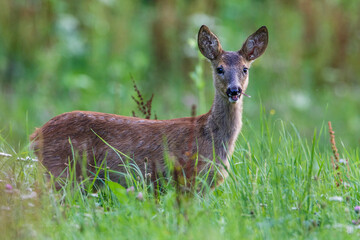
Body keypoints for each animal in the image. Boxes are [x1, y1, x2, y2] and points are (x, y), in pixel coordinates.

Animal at [30, 24, 268, 189]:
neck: (212, 138)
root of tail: (35, 135)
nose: (234, 90)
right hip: (61, 171)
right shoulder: (189, 176)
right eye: (219, 68)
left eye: (245, 69)